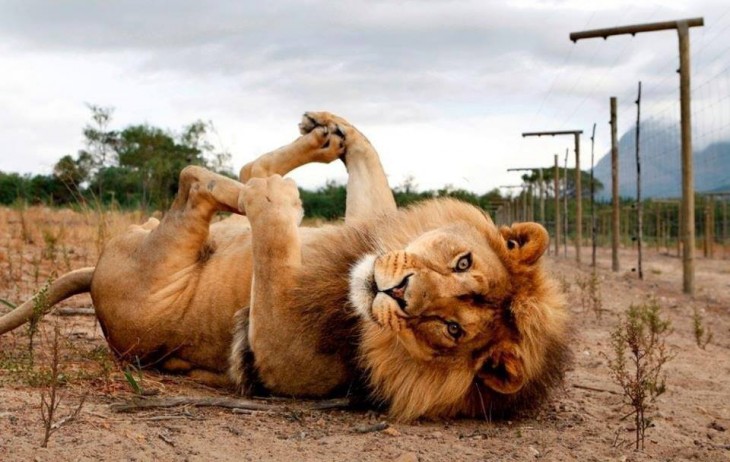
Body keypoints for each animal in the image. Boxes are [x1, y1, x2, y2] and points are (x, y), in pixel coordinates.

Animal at [0, 112, 564, 422]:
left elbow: (270, 243)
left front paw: (274, 199)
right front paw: (339, 135)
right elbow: (370, 185)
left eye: (452, 329)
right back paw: (318, 141)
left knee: (196, 180)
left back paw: (260, 186)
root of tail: (93, 277)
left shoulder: (272, 354)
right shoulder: (367, 230)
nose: (398, 291)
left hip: (161, 261)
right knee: (232, 176)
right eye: (462, 262)